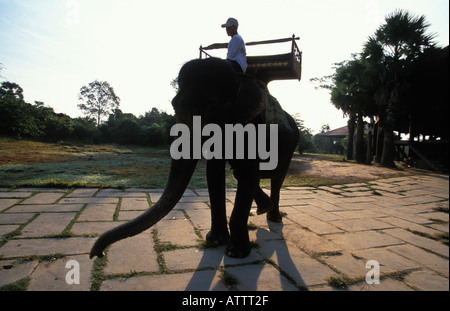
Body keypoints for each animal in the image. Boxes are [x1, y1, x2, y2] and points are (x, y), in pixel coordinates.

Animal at [89, 57, 298, 260]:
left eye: (212, 108)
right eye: (173, 105)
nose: (98, 254)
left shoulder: (252, 127)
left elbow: (248, 170)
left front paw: (236, 253)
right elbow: (214, 173)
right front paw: (215, 240)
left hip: (291, 144)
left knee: (276, 177)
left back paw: (274, 216)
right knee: (242, 174)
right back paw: (265, 207)